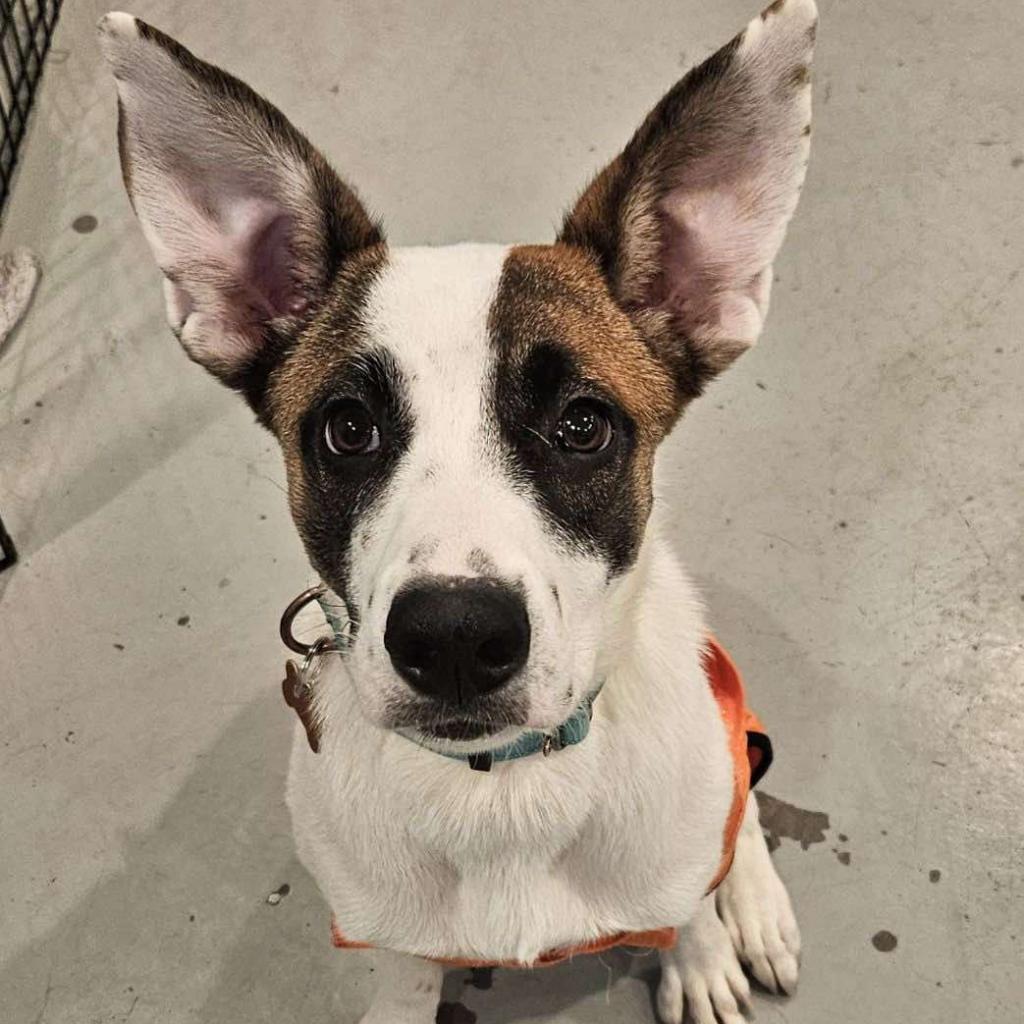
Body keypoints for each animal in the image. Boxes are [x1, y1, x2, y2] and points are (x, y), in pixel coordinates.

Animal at [97, 2, 815, 1015]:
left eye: (583, 423)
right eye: (346, 428)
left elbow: (689, 905)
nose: (454, 638)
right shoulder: (394, 938)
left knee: (741, 791)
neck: (504, 786)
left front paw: (704, 953)